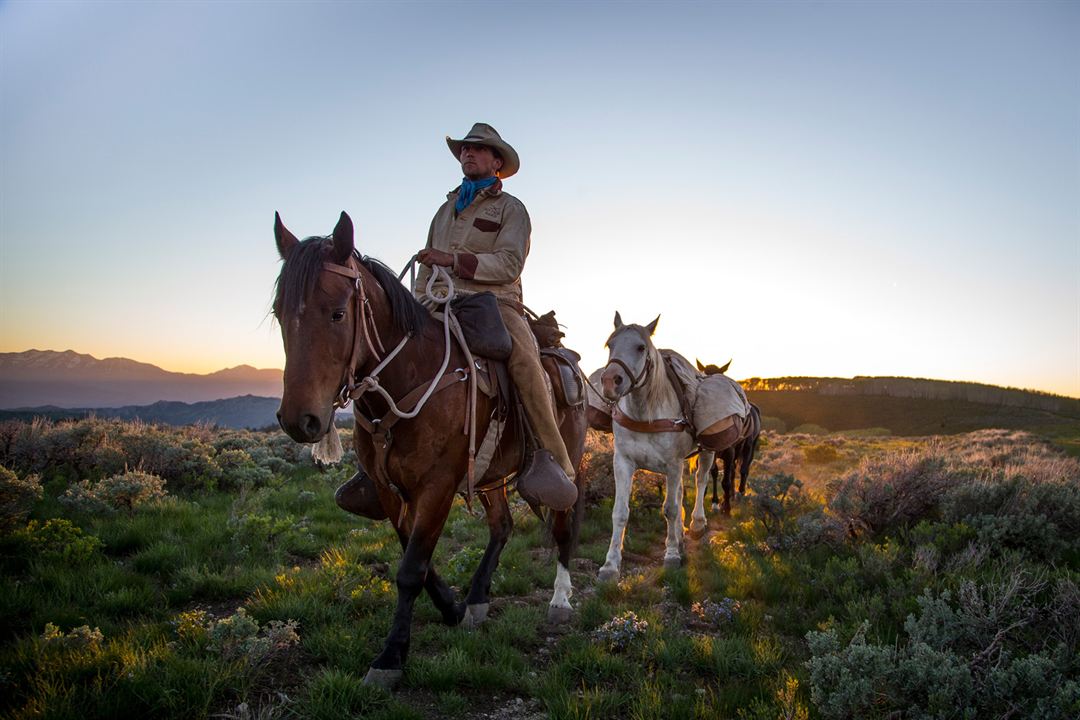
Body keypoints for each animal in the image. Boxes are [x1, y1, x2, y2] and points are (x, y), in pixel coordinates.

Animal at [274, 209, 587, 686]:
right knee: (502, 526)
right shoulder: (387, 487)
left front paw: (390, 657)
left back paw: (560, 602)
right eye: (279, 313)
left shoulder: (437, 485)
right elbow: (413, 556)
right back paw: (477, 599)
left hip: (567, 454)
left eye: (338, 313)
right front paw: (452, 608)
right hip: (490, 473)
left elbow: (411, 569)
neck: (408, 376)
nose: (299, 420)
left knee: (564, 521)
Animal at [596, 313, 712, 582]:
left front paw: (671, 555)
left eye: (641, 347)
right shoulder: (624, 463)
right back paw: (680, 536)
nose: (610, 382)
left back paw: (697, 524)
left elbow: (670, 509)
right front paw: (610, 565)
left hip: (707, 452)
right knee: (680, 491)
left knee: (701, 481)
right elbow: (620, 512)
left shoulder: (673, 464)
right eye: (609, 344)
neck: (645, 414)